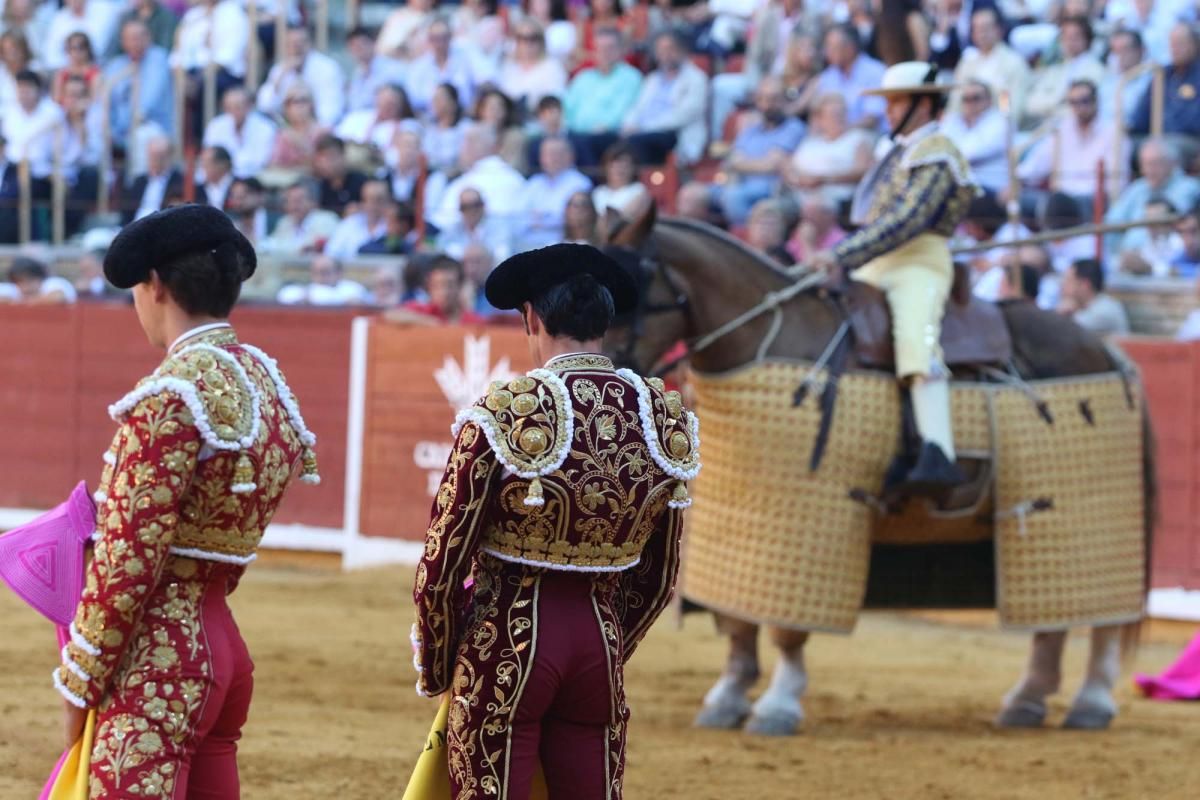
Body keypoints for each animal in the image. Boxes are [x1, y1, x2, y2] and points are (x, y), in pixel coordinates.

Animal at [604, 201, 1156, 738]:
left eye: (627, 290)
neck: (768, 339)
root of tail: (1106, 348)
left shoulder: (813, 519)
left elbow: (786, 629)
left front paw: (778, 704)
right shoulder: (737, 520)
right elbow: (738, 618)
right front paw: (728, 697)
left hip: (1085, 514)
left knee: (1103, 615)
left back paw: (1091, 702)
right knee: (1053, 621)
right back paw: (1027, 700)